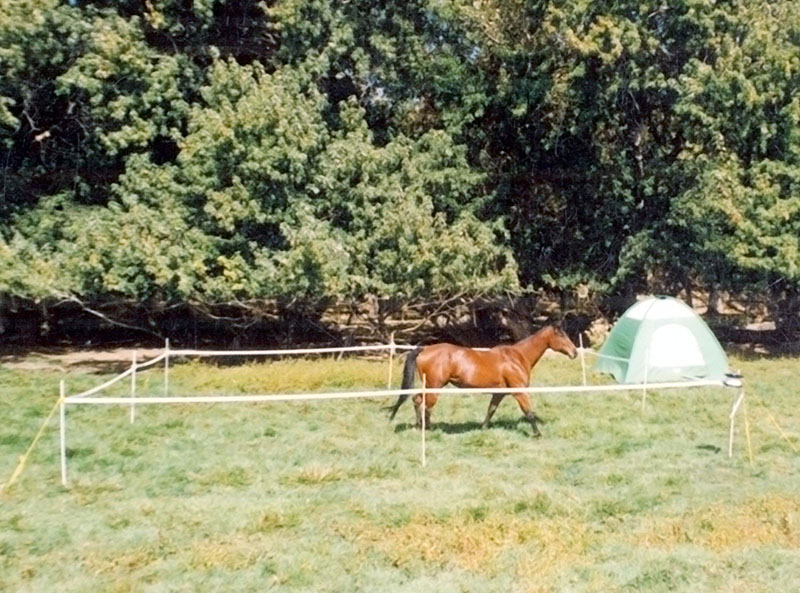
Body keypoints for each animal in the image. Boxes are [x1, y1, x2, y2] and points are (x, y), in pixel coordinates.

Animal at [386, 324, 576, 434]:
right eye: (562, 336)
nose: (574, 352)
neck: (517, 357)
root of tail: (424, 349)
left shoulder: (499, 393)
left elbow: (490, 410)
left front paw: (483, 428)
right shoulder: (519, 392)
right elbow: (529, 412)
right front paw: (537, 434)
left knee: (417, 400)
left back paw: (419, 426)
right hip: (435, 386)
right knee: (425, 405)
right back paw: (427, 429)